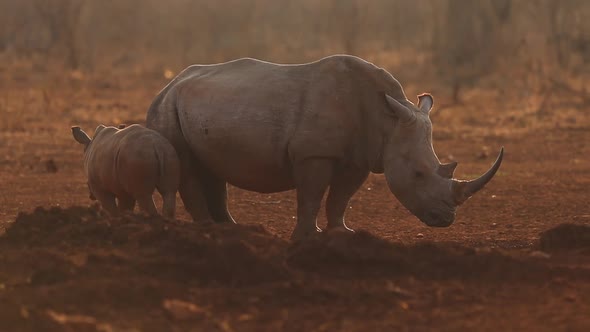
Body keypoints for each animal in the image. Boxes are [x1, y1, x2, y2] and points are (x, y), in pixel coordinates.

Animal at [147, 55, 504, 240]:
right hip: (168, 107)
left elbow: (341, 197)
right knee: (186, 165)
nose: (446, 219)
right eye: (417, 174)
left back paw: (231, 230)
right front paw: (307, 238)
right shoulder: (314, 153)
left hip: (198, 105)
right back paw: (209, 229)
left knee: (211, 168)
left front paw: (341, 233)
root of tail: (168, 83)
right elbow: (312, 194)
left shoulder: (360, 156)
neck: (387, 119)